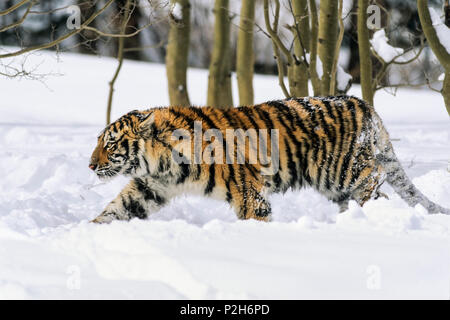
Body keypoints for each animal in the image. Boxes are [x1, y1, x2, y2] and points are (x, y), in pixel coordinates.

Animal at [89, 96, 450, 224]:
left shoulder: (247, 188)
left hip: (337, 169)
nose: (90, 165)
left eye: (110, 143)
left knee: (376, 178)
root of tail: (363, 104)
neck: (162, 164)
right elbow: (117, 209)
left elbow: (255, 215)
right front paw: (91, 231)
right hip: (335, 183)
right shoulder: (150, 187)